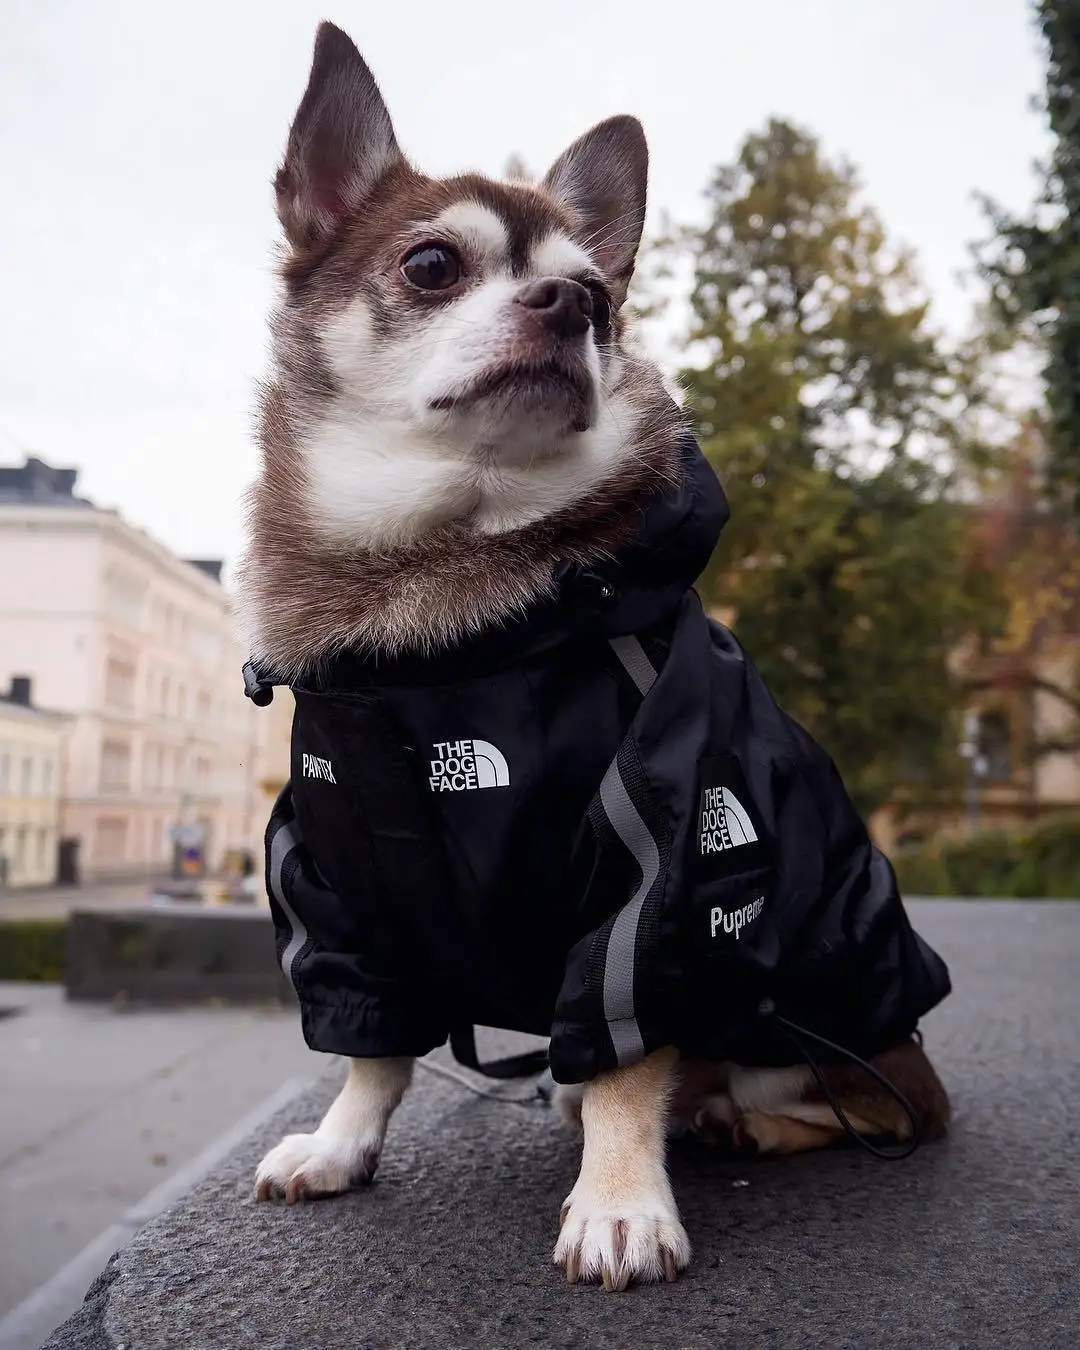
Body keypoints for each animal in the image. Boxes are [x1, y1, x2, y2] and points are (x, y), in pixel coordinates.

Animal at [240, 18, 950, 1285]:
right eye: (432, 266)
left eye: (606, 307)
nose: (574, 299)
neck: (441, 615)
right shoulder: (335, 891)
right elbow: (372, 1042)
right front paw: (339, 1142)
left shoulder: (659, 882)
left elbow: (627, 1054)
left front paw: (621, 1202)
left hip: (816, 1023)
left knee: (876, 1106)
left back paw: (732, 1120)